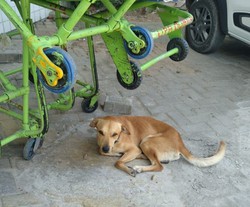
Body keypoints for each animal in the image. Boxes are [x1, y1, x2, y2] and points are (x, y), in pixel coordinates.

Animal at [90, 115, 227, 177]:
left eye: (114, 134)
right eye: (100, 132)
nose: (106, 148)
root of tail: (180, 142)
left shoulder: (134, 148)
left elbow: (117, 162)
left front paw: (128, 168)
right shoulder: (103, 146)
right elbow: (101, 151)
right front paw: (115, 153)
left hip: (146, 142)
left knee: (158, 166)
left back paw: (139, 168)